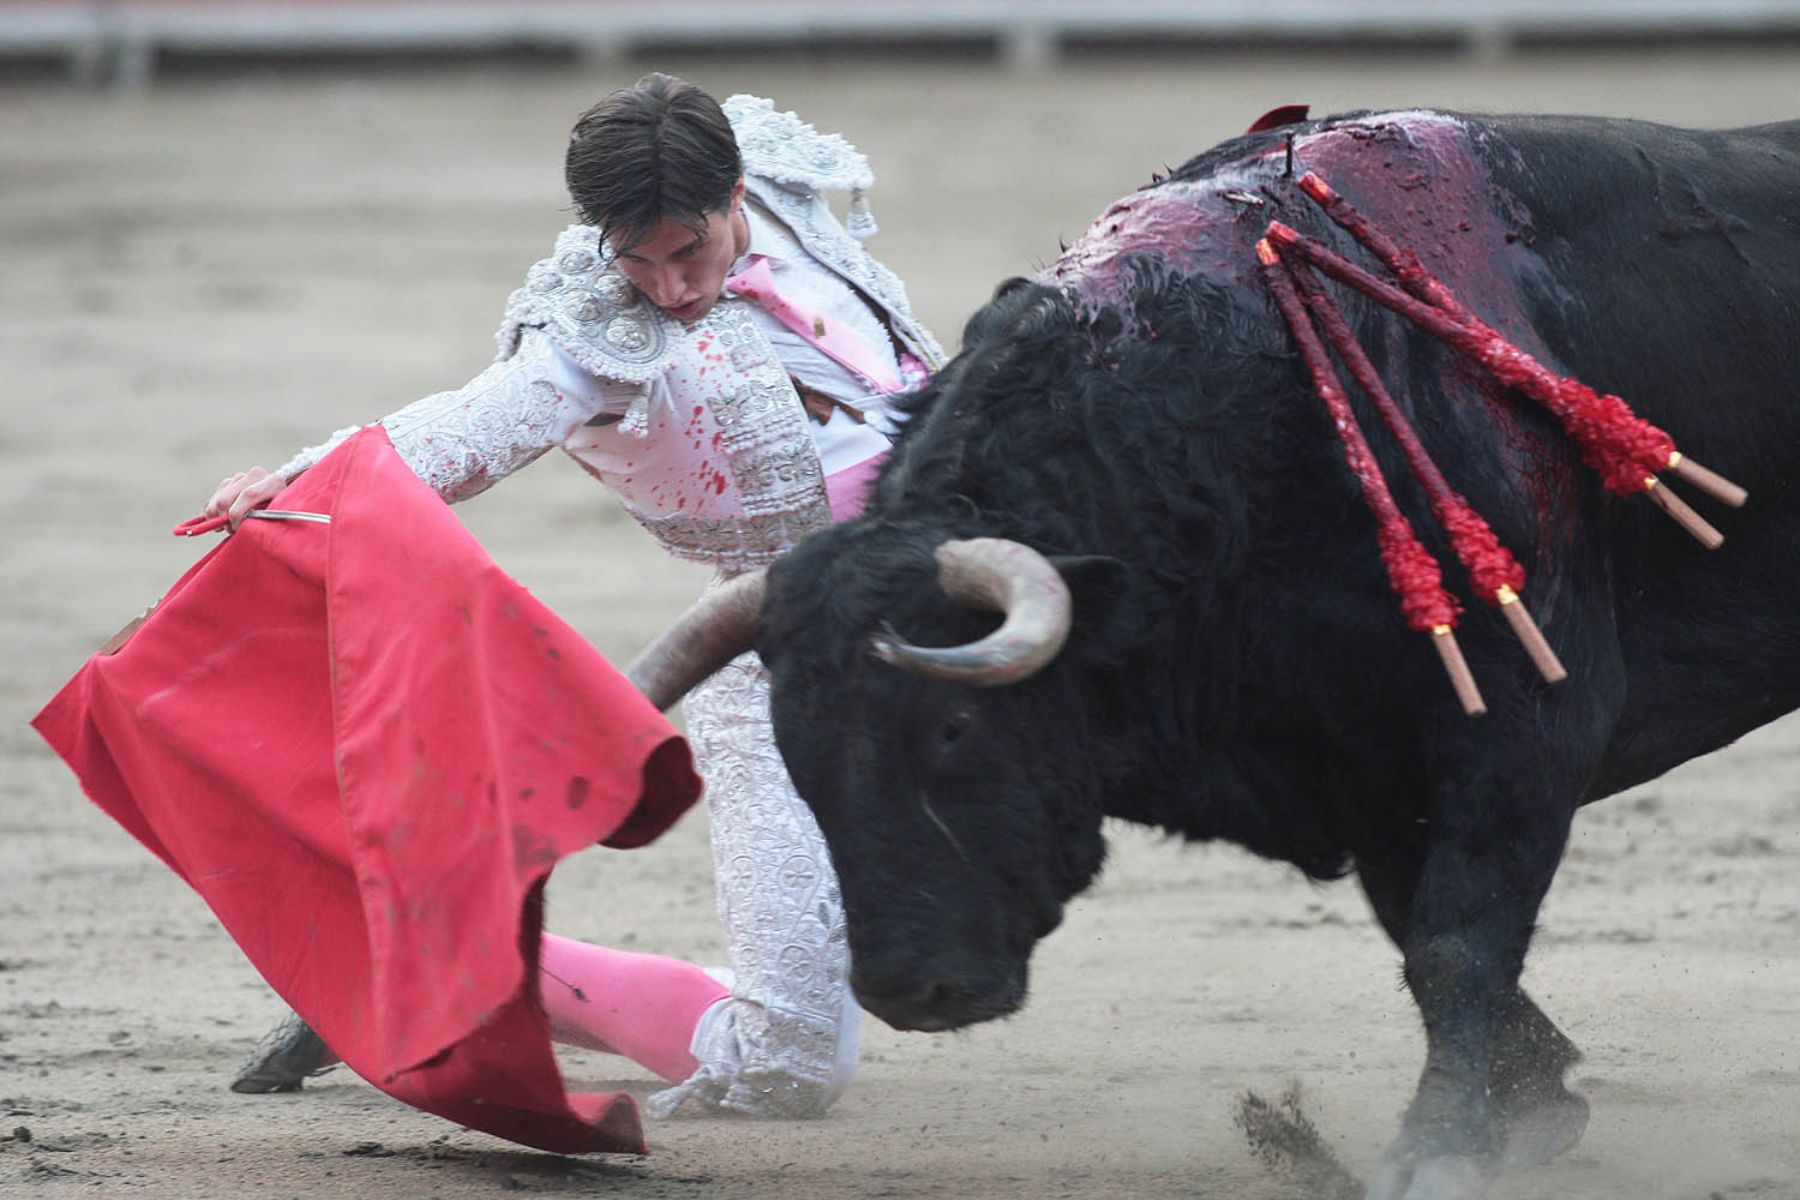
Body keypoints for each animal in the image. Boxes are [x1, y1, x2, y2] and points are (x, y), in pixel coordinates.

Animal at [633, 110, 1800, 1194]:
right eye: (794, 748)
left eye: (954, 724)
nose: (902, 990)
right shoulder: (1372, 766)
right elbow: (1421, 937)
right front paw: (1535, 1105)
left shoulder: (1520, 727)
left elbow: (1455, 944)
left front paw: (1441, 1149)